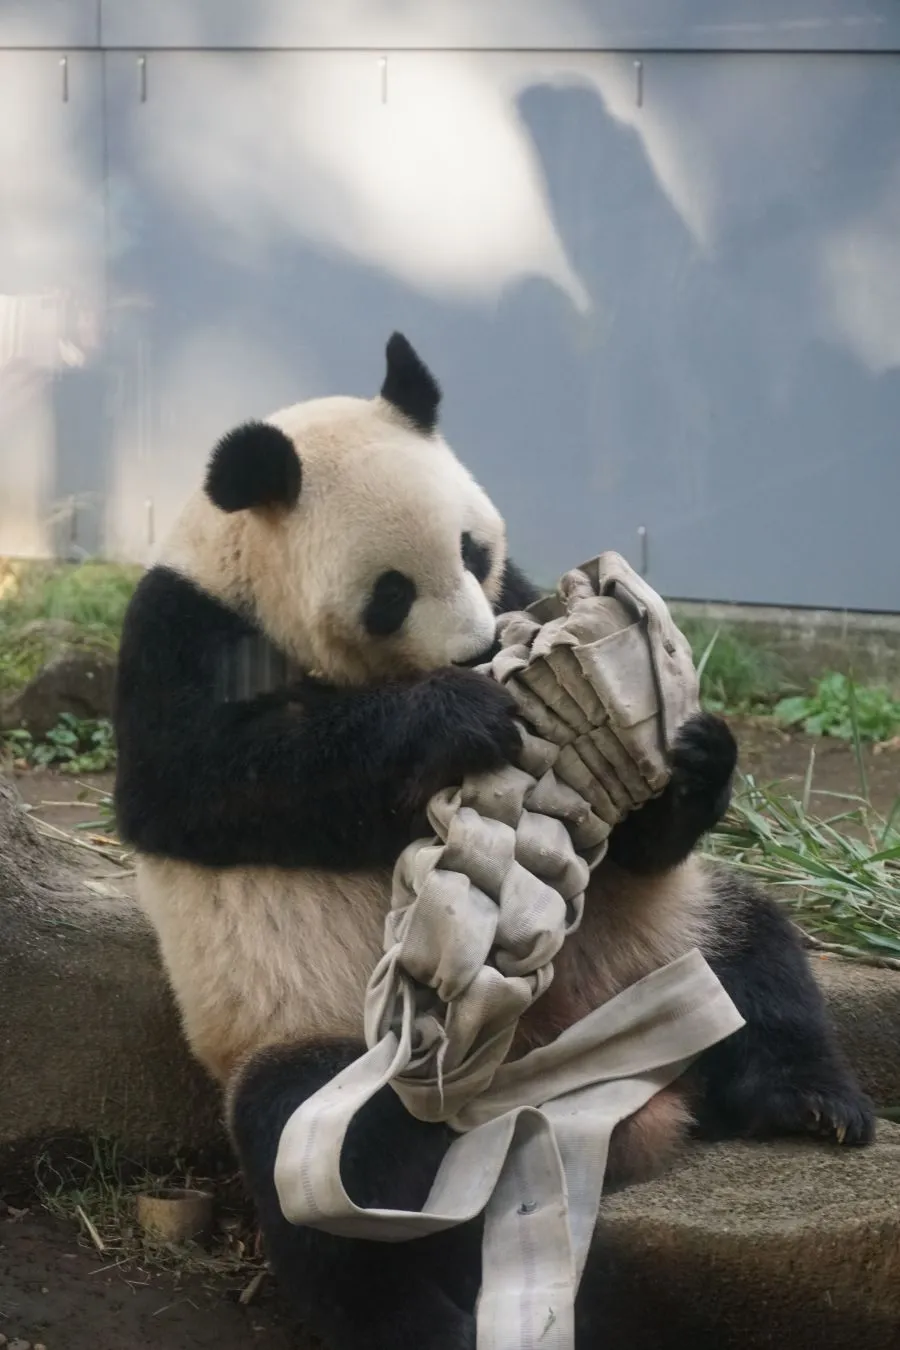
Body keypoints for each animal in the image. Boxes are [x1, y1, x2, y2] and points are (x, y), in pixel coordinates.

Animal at [113, 332, 874, 1350]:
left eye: (473, 550)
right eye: (392, 593)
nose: (478, 651)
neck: (246, 567)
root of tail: (552, 1080)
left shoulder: (516, 591)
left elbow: (642, 840)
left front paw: (692, 752)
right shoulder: (185, 628)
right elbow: (199, 783)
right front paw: (454, 716)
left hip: (649, 946)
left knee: (755, 954)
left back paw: (810, 1103)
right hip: (340, 1040)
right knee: (333, 1160)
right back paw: (413, 1317)